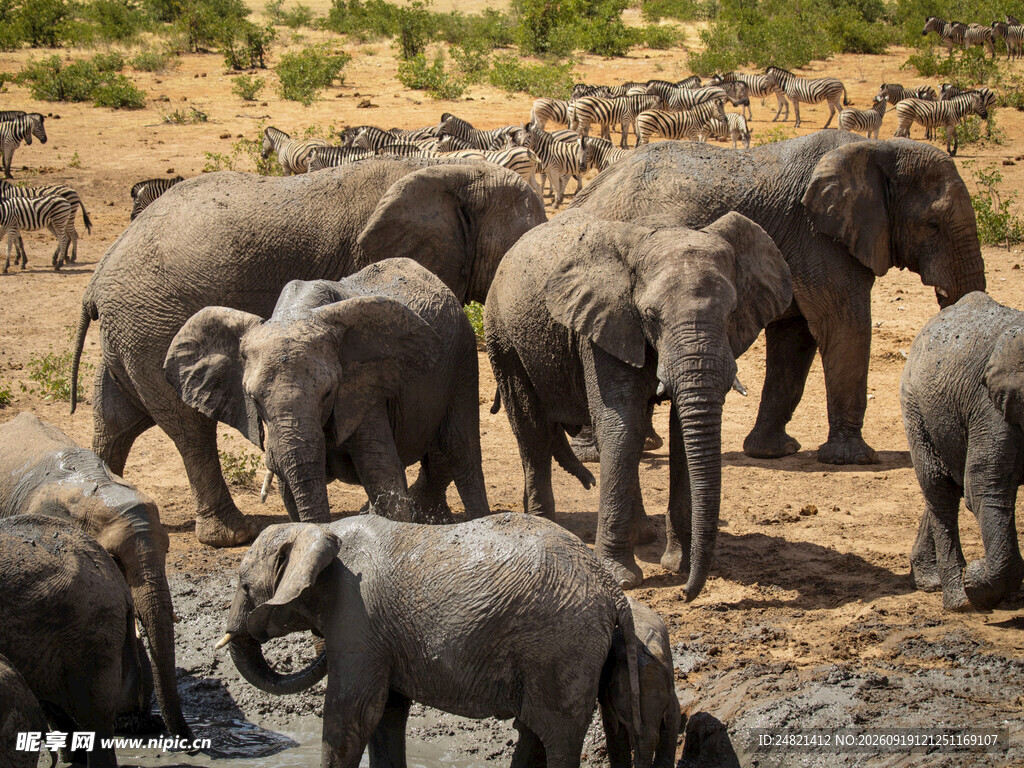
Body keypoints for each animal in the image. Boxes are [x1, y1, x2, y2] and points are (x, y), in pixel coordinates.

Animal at [163, 259, 488, 525]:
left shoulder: (364, 389)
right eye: (254, 400)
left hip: (463, 357)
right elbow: (289, 489)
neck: (297, 311)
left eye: (328, 393)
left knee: (461, 450)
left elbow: (382, 474)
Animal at [217, 513, 642, 768]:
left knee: (557, 735)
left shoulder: (357, 617)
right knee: (538, 731)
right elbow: (386, 712)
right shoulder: (377, 634)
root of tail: (610, 587)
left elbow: (352, 711)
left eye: (244, 586)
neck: (319, 529)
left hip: (561, 648)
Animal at [485, 209, 792, 591]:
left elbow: (680, 436)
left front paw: (679, 565)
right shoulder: (603, 325)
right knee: (532, 430)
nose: (687, 593)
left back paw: (643, 534)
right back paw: (546, 526)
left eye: (732, 312)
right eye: (650, 316)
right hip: (503, 334)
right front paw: (623, 579)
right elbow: (622, 427)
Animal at [569, 132, 987, 466]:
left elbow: (794, 339)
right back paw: (598, 452)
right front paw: (853, 459)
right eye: (932, 225)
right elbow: (845, 326)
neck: (877, 148)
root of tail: (588, 193)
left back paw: (642, 444)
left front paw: (773, 451)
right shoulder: (820, 240)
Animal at [900, 291, 1024, 611]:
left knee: (945, 486)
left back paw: (930, 581)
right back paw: (958, 599)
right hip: (915, 407)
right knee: (940, 490)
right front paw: (976, 583)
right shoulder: (993, 410)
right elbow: (984, 491)